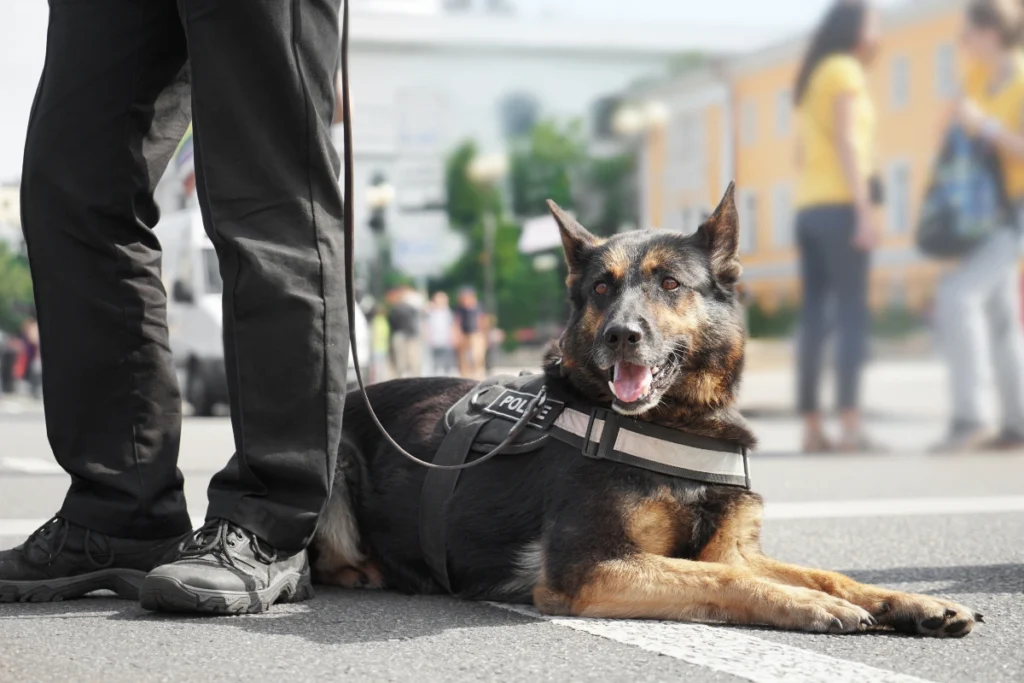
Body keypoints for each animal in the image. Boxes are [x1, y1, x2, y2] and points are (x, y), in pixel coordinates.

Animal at [307, 184, 978, 638]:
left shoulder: (730, 548)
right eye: (602, 288)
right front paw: (819, 608)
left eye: (671, 284)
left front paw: (909, 601)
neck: (670, 424)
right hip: (333, 461)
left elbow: (821, 571)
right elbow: (732, 581)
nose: (621, 336)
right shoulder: (592, 567)